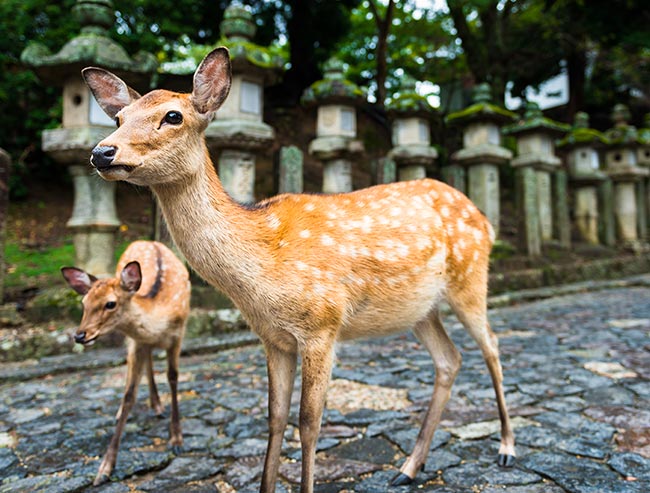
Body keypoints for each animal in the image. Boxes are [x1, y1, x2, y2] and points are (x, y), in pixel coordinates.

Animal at [60, 240, 190, 486]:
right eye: (84, 302)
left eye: (110, 303)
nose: (79, 335)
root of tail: (148, 241)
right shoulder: (138, 342)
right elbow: (129, 394)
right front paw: (104, 469)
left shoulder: (178, 335)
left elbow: (173, 378)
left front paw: (177, 439)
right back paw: (144, 406)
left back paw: (157, 406)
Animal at [83, 48, 512, 490]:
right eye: (118, 118)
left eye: (173, 116)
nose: (102, 153)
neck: (259, 271)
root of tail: (484, 220)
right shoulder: (273, 337)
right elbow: (274, 418)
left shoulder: (322, 325)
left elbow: (308, 423)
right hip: (420, 310)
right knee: (450, 359)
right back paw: (409, 467)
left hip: (470, 280)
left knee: (493, 347)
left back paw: (505, 448)